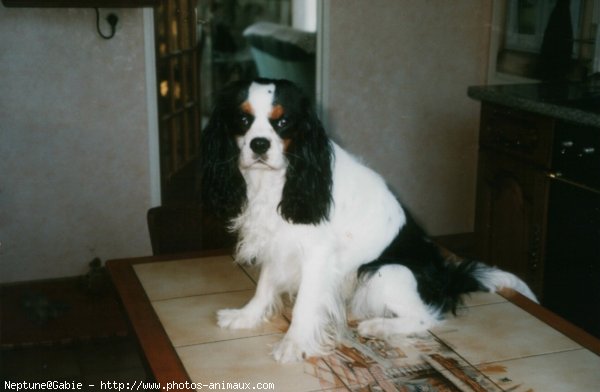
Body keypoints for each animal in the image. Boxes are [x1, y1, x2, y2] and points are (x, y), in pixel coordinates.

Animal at [199, 78, 536, 362]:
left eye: (282, 122)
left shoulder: (317, 255)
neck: (279, 181)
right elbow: (265, 285)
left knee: (426, 316)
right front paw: (245, 316)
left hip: (385, 273)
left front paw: (293, 344)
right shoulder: (277, 241)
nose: (259, 144)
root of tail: (444, 277)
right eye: (243, 120)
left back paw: (378, 326)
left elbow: (305, 303)